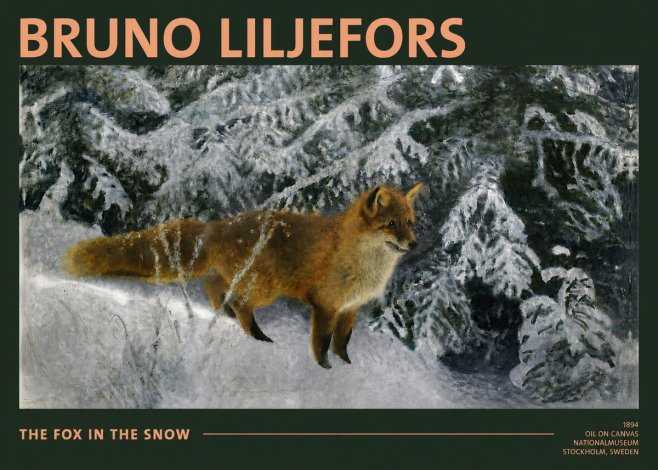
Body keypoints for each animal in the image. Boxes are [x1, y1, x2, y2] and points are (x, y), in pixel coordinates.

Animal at [63, 183, 423, 368]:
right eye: (391, 224)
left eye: (410, 222)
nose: (415, 244)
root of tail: (219, 225)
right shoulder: (326, 305)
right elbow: (321, 343)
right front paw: (324, 369)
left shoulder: (350, 307)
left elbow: (342, 341)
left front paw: (347, 365)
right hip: (264, 287)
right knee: (238, 302)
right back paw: (256, 336)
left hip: (247, 280)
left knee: (214, 285)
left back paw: (225, 316)